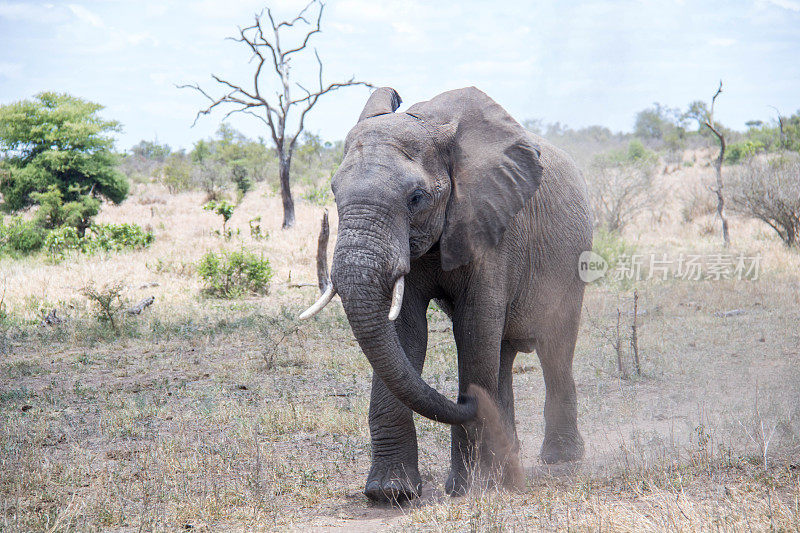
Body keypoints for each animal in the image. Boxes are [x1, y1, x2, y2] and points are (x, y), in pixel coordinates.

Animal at [300, 85, 592, 500]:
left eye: (416, 198)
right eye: (334, 192)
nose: (468, 400)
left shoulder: (492, 227)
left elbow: (474, 328)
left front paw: (472, 487)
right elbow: (404, 333)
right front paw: (390, 493)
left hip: (572, 261)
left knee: (554, 347)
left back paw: (560, 457)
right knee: (502, 355)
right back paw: (508, 460)